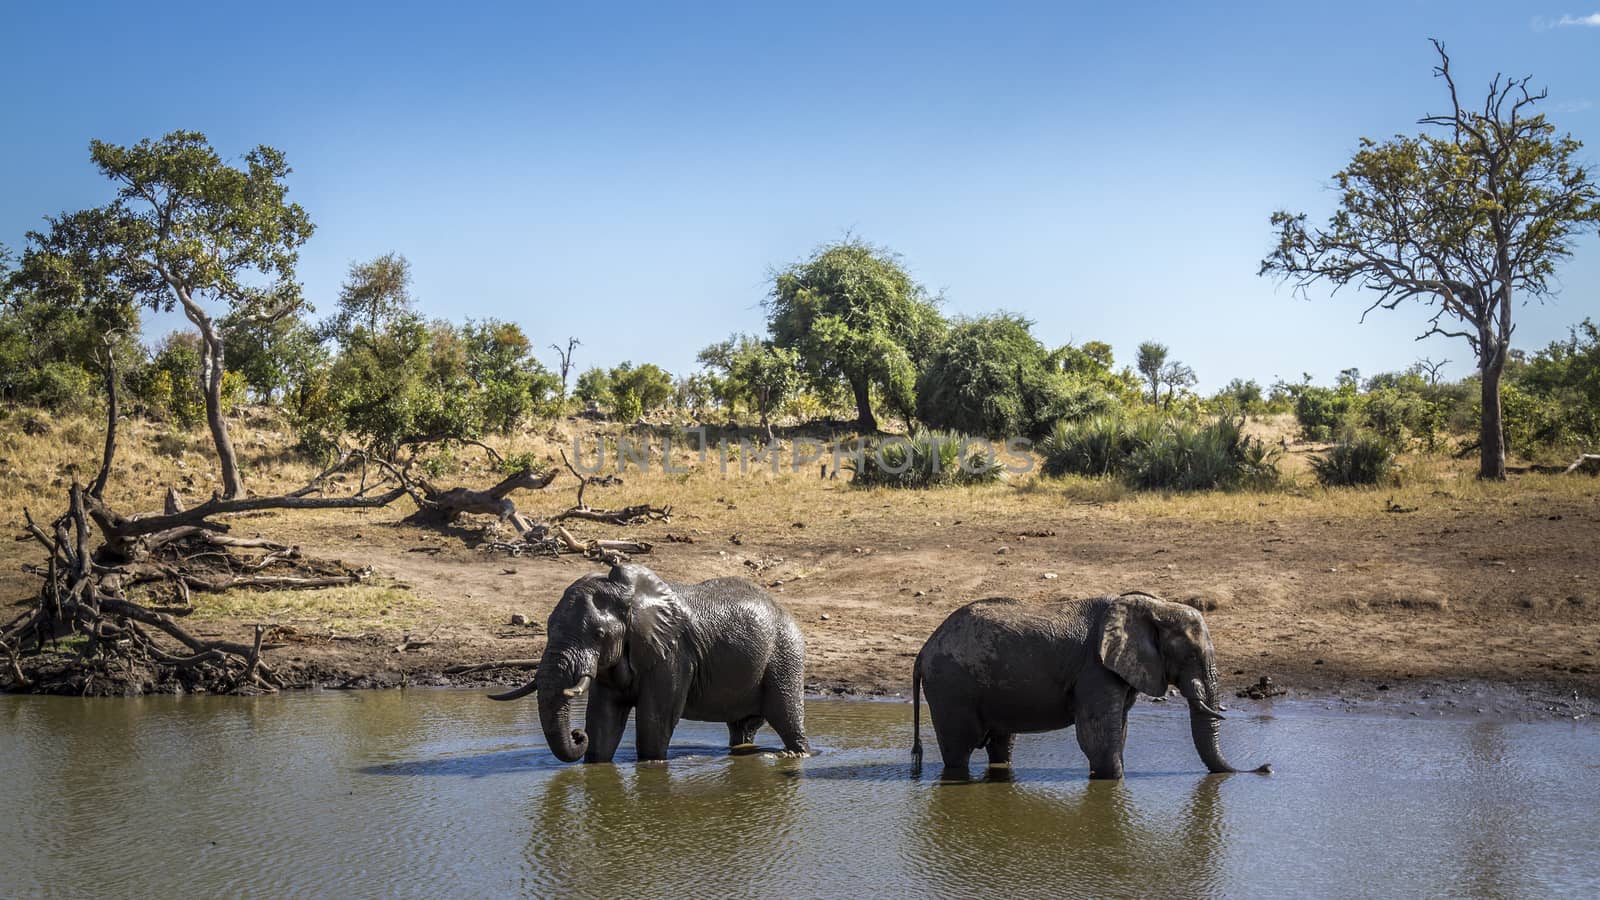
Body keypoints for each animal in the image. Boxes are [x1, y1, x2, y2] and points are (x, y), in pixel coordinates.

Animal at [486, 563, 812, 759]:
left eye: (598, 634)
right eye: (548, 627)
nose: (578, 735)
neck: (629, 596)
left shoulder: (674, 655)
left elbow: (655, 722)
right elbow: (603, 721)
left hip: (785, 654)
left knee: (786, 717)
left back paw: (796, 755)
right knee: (742, 727)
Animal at [915, 589, 1273, 778]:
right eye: (1189, 654)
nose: (1266, 767)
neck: (1154, 606)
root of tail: (923, 649)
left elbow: (1118, 730)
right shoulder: (1095, 670)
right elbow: (1098, 735)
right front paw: (1111, 782)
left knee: (1002, 742)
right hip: (951, 688)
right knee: (960, 748)